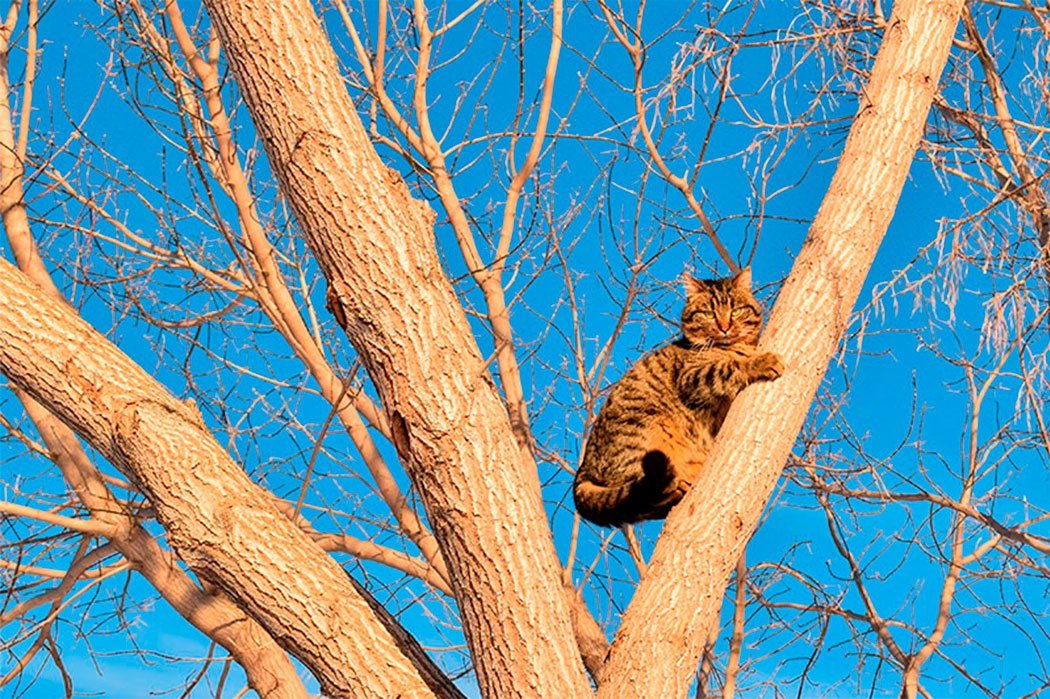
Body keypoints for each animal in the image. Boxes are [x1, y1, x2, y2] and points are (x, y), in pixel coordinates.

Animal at [571, 268, 785, 524]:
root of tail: (584, 466)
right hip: (646, 433)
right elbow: (730, 366)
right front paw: (760, 362)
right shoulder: (692, 377)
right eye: (708, 313)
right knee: (646, 497)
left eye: (736, 310)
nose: (725, 327)